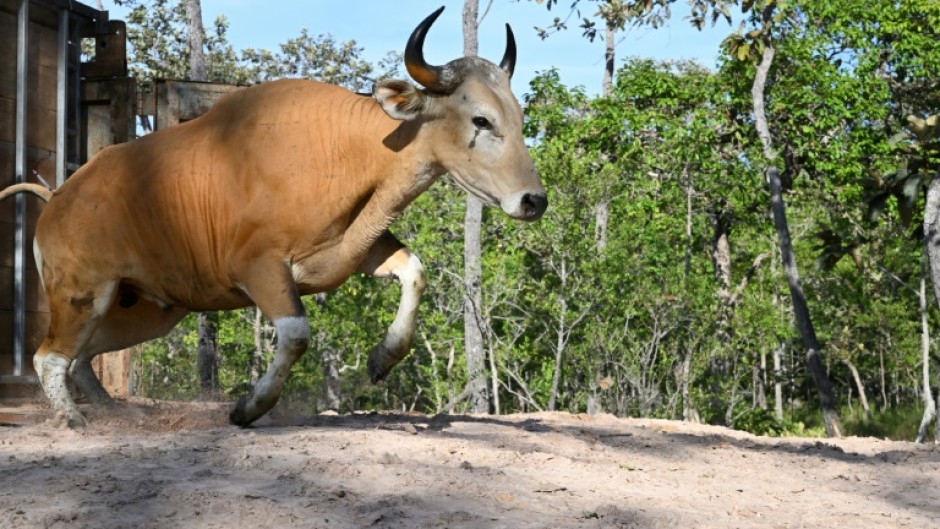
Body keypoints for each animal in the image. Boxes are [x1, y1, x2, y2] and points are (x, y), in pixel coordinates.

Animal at [0, 6, 546, 428]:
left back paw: (112, 411)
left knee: (82, 355)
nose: (533, 201)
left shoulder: (358, 247)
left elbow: (415, 272)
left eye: (519, 117)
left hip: (144, 308)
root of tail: (59, 198)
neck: (342, 149)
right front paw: (250, 407)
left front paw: (383, 356)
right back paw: (74, 419)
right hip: (82, 294)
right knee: (50, 356)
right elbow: (297, 334)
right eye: (480, 119)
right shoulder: (261, 269)